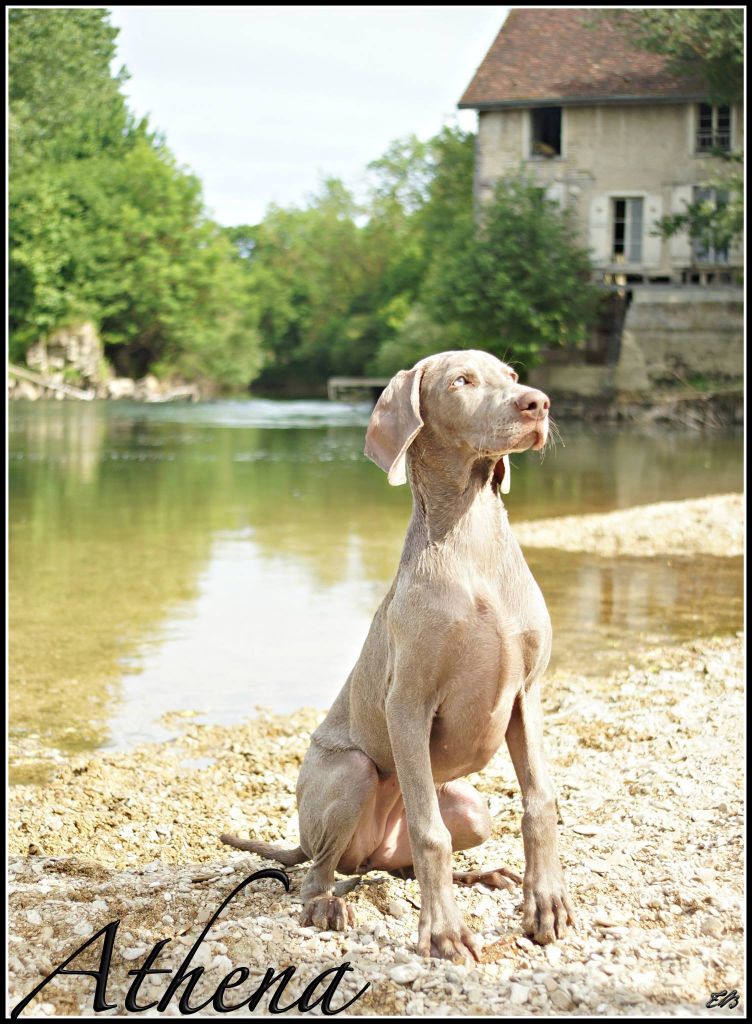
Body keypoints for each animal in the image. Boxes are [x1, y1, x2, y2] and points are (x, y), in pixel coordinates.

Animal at [222, 350, 577, 958]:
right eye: (461, 381)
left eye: (510, 375)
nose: (538, 403)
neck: (472, 543)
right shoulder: (408, 703)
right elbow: (430, 833)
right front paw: (443, 933)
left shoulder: (526, 695)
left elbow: (540, 802)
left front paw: (545, 902)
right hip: (353, 774)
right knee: (319, 872)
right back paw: (326, 906)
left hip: (471, 807)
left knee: (402, 866)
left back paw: (483, 875)